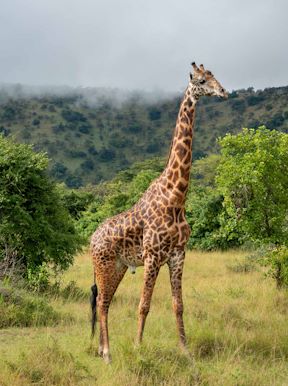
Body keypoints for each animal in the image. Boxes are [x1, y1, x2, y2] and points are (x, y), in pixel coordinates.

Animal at [90, 61, 227, 364]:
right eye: (201, 80)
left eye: (214, 76)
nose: (224, 92)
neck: (175, 196)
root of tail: (91, 239)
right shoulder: (152, 256)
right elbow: (144, 304)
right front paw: (138, 348)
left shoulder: (178, 255)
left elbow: (179, 305)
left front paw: (185, 351)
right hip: (103, 265)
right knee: (102, 303)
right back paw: (107, 354)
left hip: (118, 266)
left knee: (105, 303)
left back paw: (104, 350)